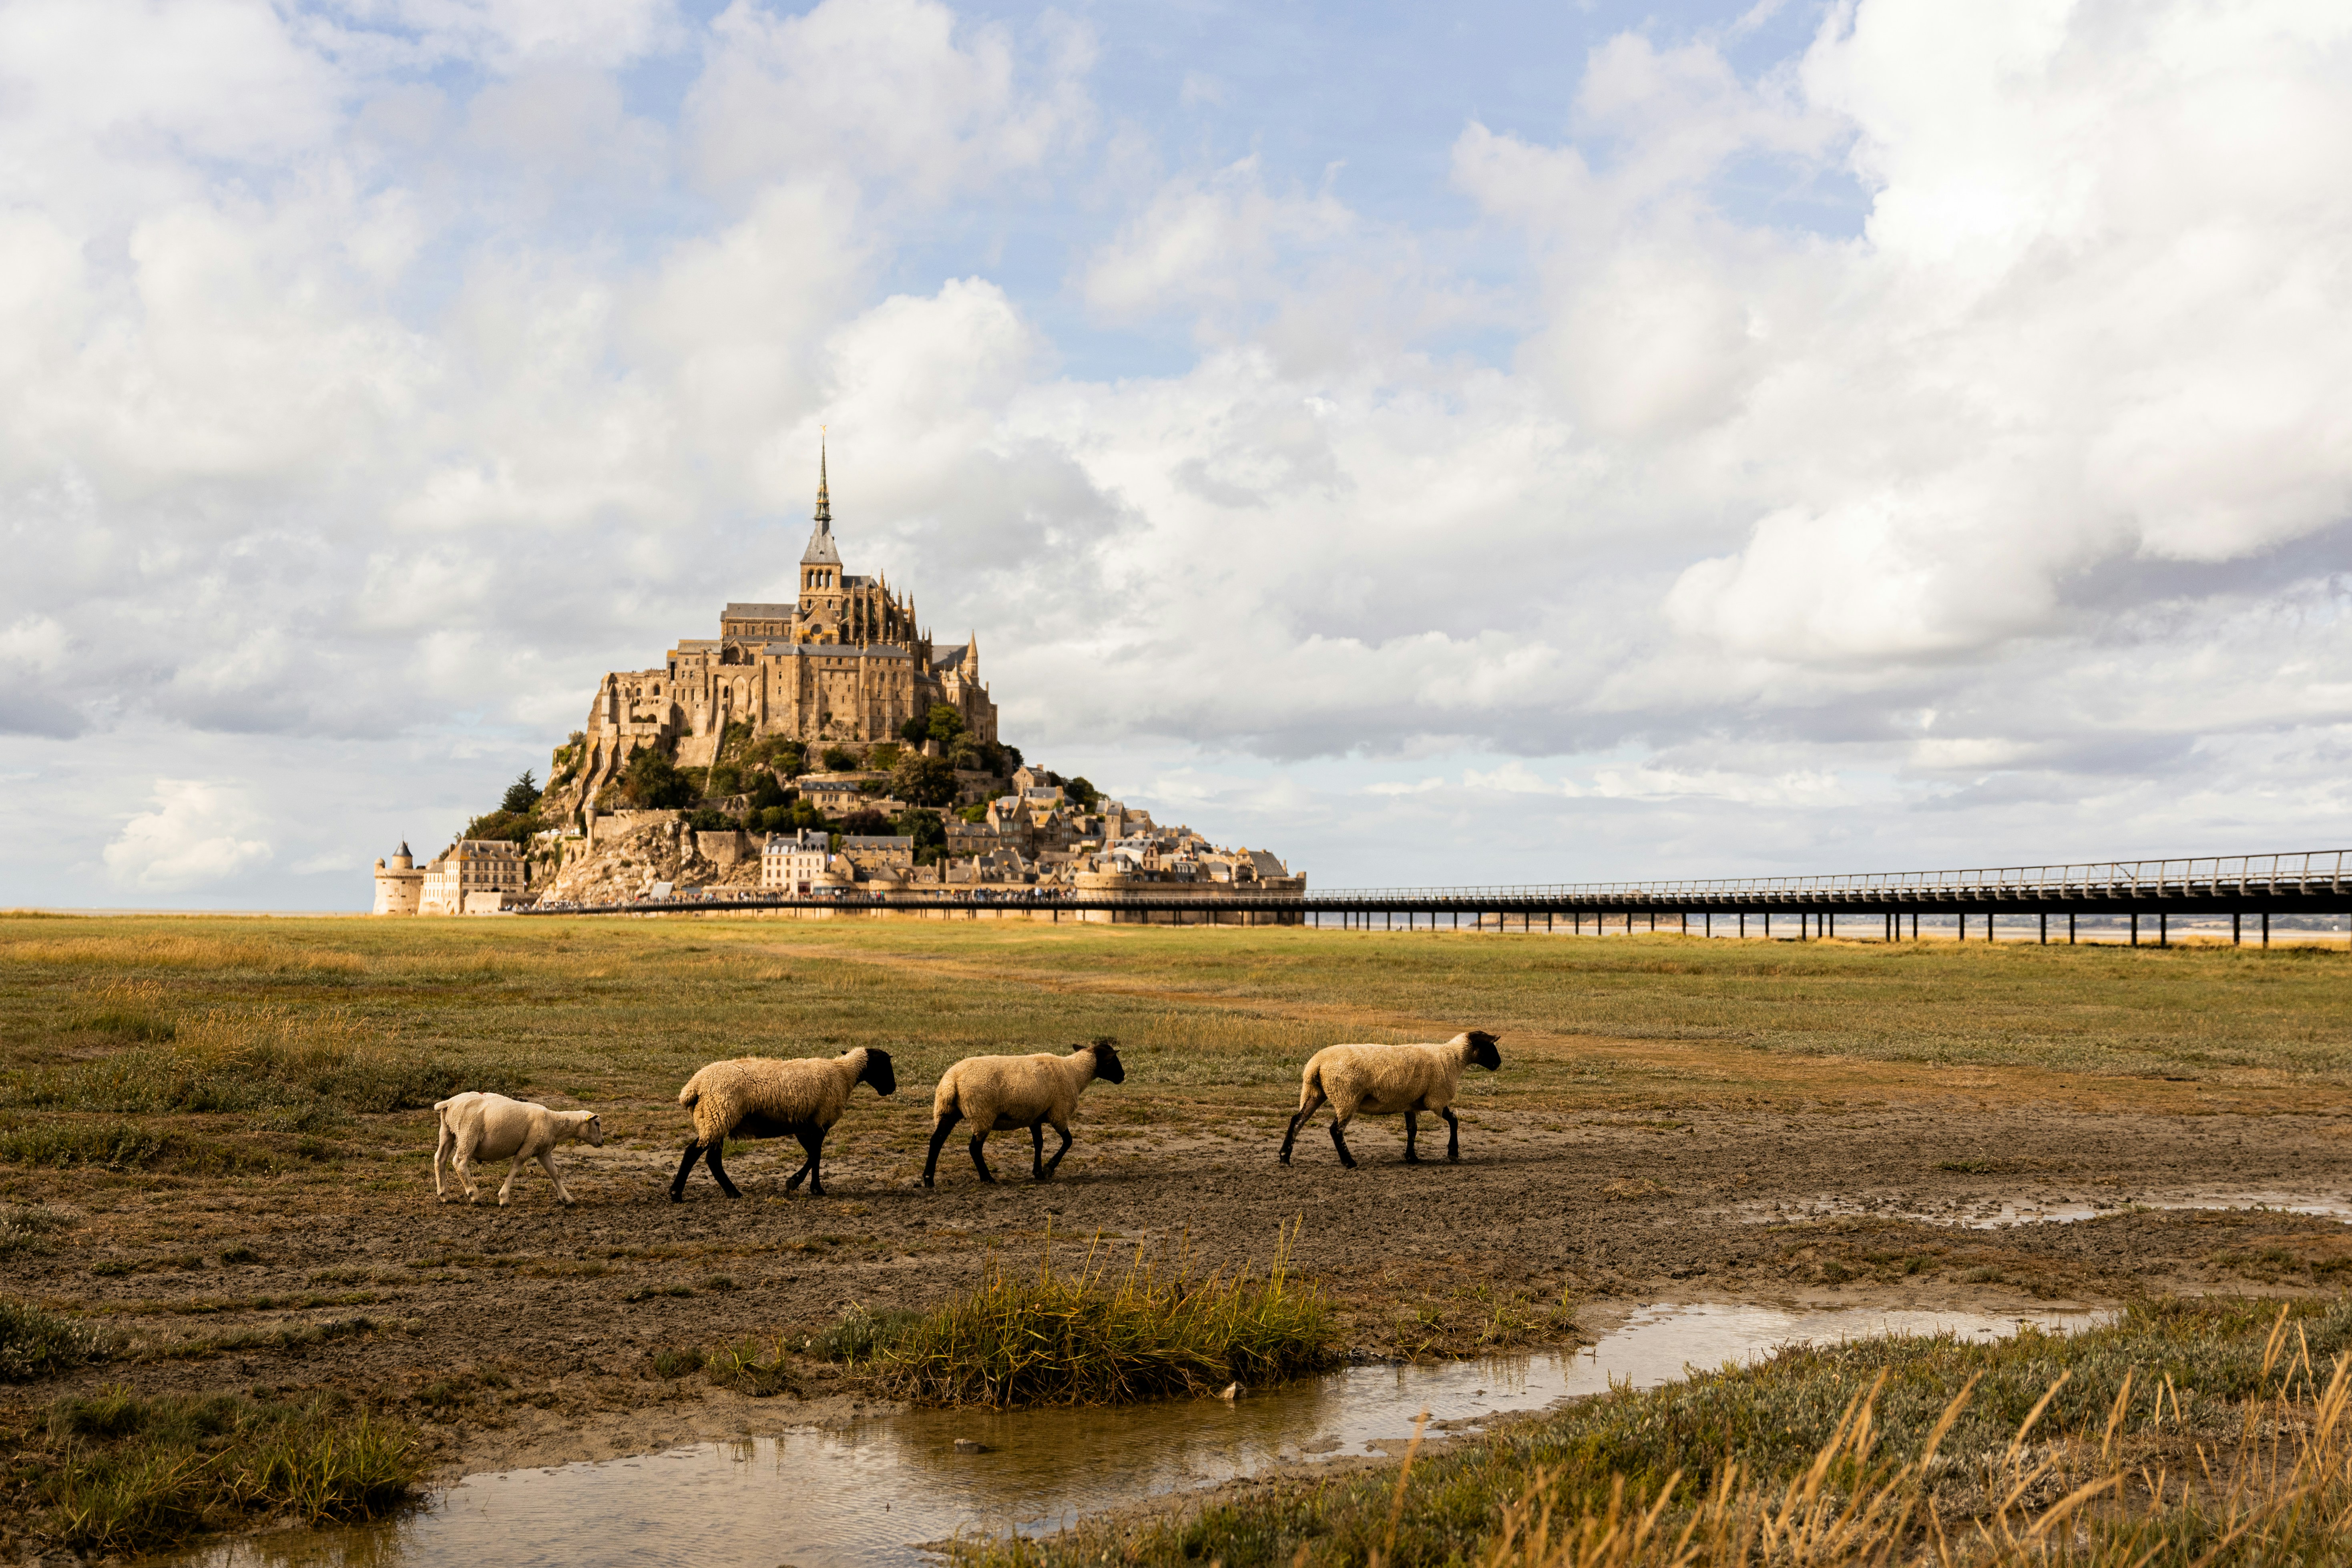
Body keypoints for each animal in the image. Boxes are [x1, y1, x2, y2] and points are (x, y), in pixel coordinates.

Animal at [433, 1091, 607, 1206]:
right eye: (597, 1124)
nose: (602, 1141)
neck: (555, 1124)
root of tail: (449, 1103)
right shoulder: (529, 1146)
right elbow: (515, 1169)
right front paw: (504, 1198)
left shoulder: (543, 1151)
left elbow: (555, 1174)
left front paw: (567, 1198)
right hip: (469, 1133)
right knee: (459, 1162)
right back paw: (474, 1195)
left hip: (447, 1131)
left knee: (440, 1159)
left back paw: (444, 1195)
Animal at [670, 1048, 897, 1201]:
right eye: (885, 1066)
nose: (893, 1088)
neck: (844, 1073)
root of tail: (694, 1086)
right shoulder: (820, 1121)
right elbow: (816, 1155)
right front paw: (802, 1184)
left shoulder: (805, 1125)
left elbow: (814, 1155)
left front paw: (809, 1186)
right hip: (718, 1115)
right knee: (694, 1153)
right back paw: (676, 1194)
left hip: (716, 1118)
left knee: (712, 1159)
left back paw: (732, 1192)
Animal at [923, 1039, 1125, 1188]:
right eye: (1112, 1061)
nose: (1123, 1076)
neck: (1075, 1073)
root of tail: (952, 1081)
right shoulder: (1059, 1113)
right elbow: (1068, 1141)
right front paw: (1049, 1168)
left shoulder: (1035, 1117)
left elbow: (1039, 1143)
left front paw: (1039, 1173)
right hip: (982, 1113)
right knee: (974, 1148)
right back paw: (988, 1178)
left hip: (948, 1112)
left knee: (936, 1141)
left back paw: (928, 1180)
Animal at [1277, 1031, 1502, 1169]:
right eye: (1489, 1046)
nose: (1499, 1063)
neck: (1452, 1058)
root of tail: (1317, 1065)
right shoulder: (1435, 1099)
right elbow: (1454, 1119)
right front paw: (1453, 1153)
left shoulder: (1411, 1102)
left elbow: (1412, 1130)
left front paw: (1412, 1157)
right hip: (1347, 1096)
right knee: (1336, 1130)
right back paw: (1349, 1162)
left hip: (1314, 1093)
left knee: (1297, 1121)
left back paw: (1285, 1158)